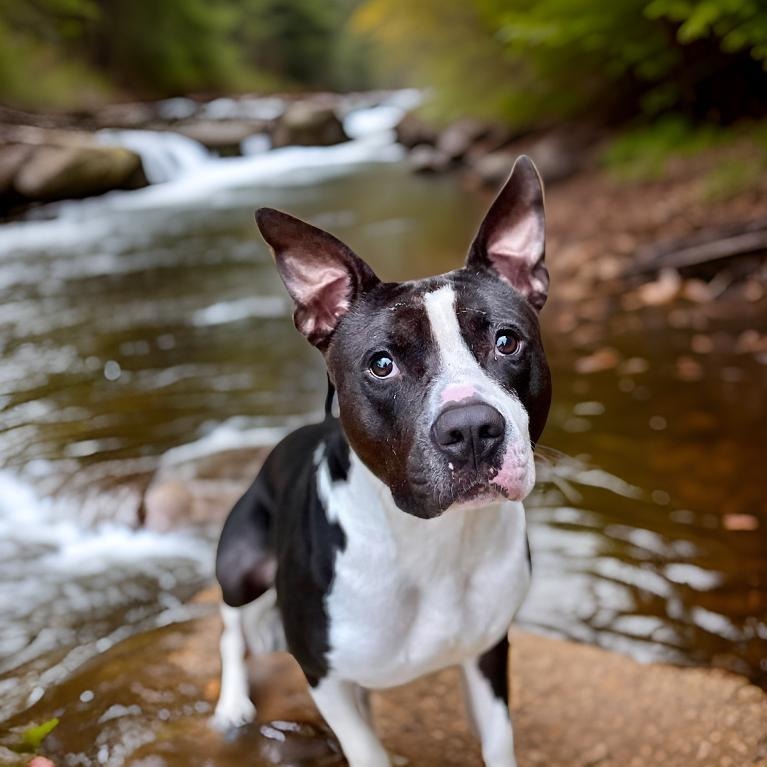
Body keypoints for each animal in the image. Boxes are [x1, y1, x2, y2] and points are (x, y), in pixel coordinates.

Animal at [213, 156, 556, 767]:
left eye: (506, 341)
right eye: (381, 364)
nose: (471, 430)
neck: (432, 541)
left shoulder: (489, 653)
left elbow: (498, 743)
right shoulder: (322, 674)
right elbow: (366, 749)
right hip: (240, 564)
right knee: (230, 630)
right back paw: (232, 705)